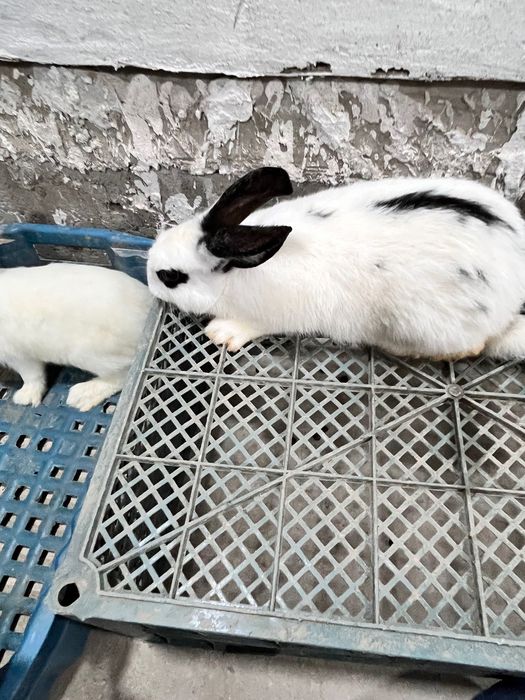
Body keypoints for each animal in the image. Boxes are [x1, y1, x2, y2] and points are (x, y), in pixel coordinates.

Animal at [0, 263, 152, 411]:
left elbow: (31, 376)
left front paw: (24, 397)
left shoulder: (19, 356)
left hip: (89, 355)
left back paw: (80, 396)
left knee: (123, 375)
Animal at [147, 167, 525, 362]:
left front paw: (221, 333)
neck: (238, 275)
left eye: (171, 277)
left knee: (472, 348)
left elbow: (251, 326)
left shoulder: (272, 315)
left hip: (430, 326)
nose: (149, 278)